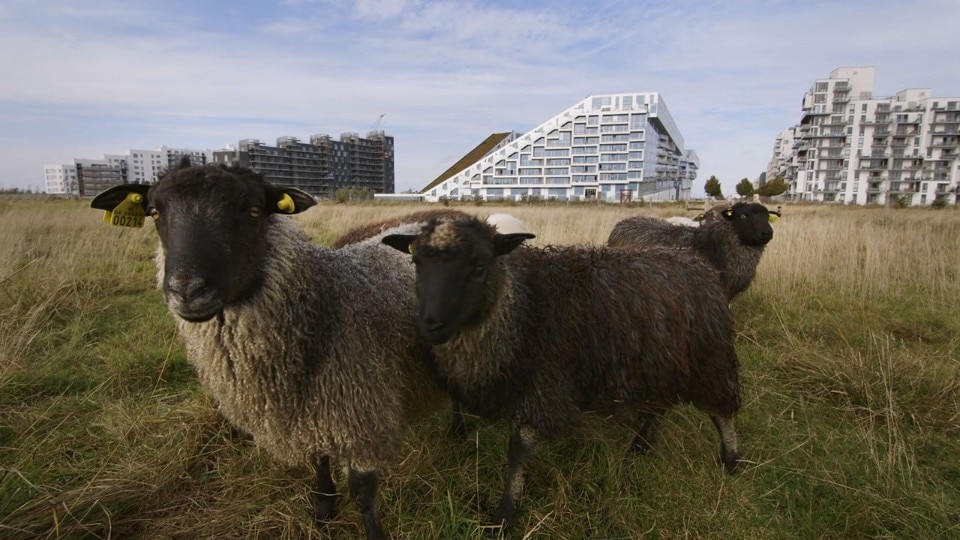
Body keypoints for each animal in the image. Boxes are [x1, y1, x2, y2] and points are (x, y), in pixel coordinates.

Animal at [90, 165, 446, 540]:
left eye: (253, 210)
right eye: (155, 212)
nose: (187, 291)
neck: (324, 305)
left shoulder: (360, 409)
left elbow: (362, 492)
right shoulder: (310, 408)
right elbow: (319, 460)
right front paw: (323, 508)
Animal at [382, 215, 744, 532]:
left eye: (479, 264)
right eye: (417, 263)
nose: (431, 324)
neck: (526, 303)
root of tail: (699, 264)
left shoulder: (545, 382)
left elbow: (518, 449)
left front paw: (504, 515)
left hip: (709, 359)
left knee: (721, 412)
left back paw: (731, 460)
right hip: (659, 363)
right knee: (660, 405)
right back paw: (640, 445)